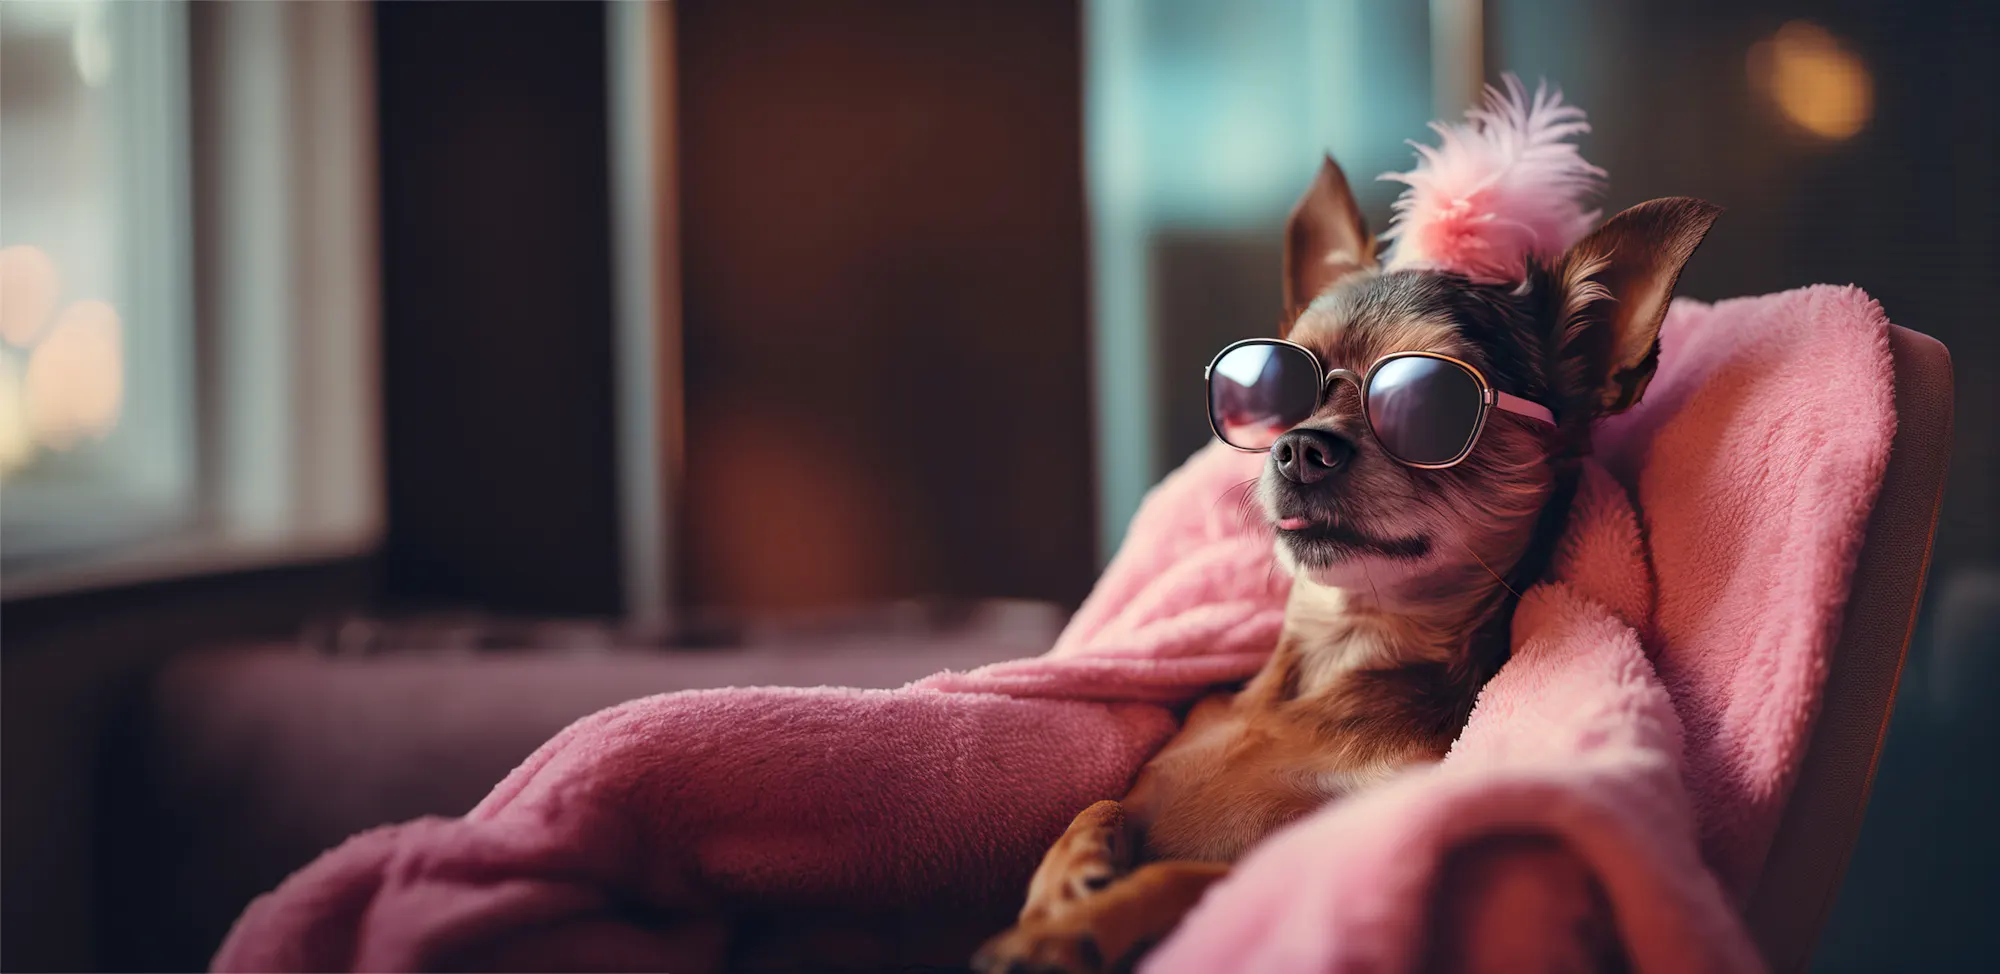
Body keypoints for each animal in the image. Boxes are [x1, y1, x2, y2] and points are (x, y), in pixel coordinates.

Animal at [972, 154, 1720, 974]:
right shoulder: (1153, 781)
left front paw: (1066, 931)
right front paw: (1064, 882)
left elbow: (1188, 877)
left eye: (1430, 406)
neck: (1341, 654)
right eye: (1273, 388)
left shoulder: (1335, 838)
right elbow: (1098, 803)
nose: (1299, 445)